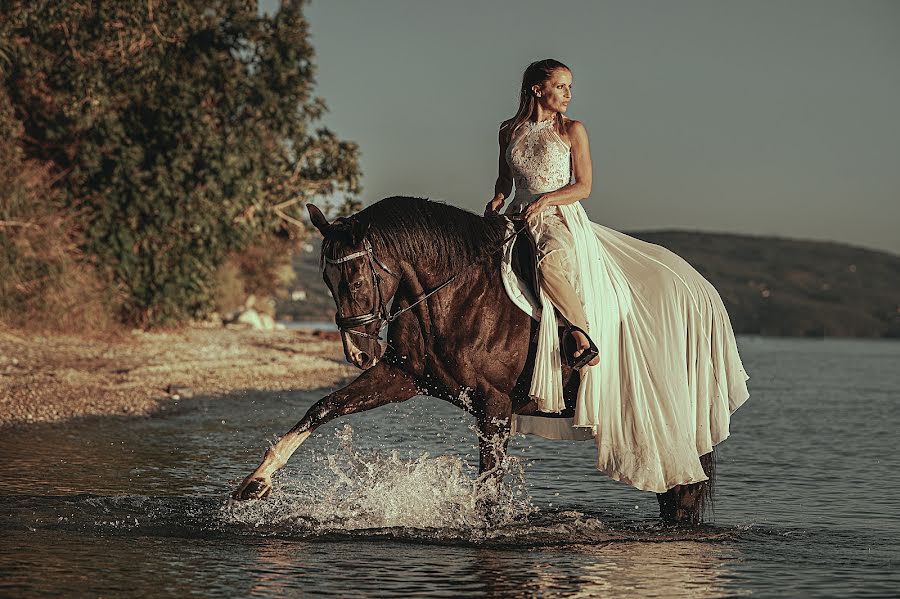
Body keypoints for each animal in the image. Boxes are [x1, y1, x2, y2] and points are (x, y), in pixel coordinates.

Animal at [236, 198, 712, 524]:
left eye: (355, 279)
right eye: (325, 278)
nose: (359, 353)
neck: (457, 293)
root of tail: (699, 287)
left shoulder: (495, 406)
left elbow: (488, 489)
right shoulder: (401, 378)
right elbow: (323, 407)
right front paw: (256, 481)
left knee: (682, 492)